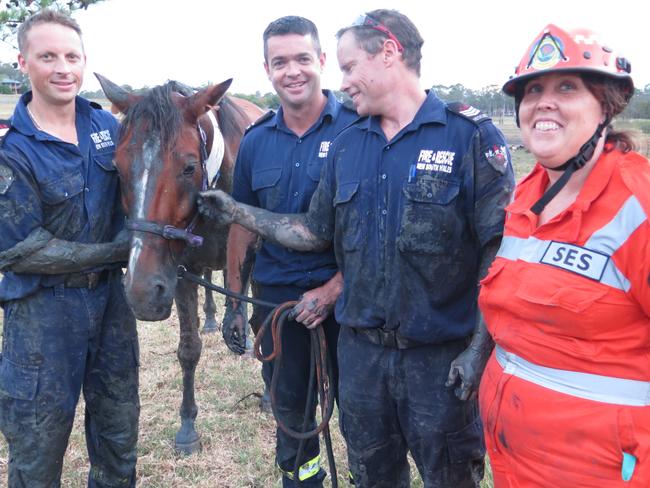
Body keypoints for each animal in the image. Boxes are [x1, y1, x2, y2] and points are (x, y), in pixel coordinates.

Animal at [95, 73, 262, 454]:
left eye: (188, 167)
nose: (141, 293)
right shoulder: (182, 274)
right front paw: (188, 427)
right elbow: (188, 350)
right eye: (118, 167)